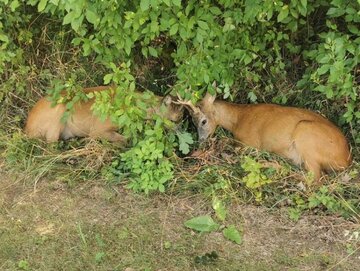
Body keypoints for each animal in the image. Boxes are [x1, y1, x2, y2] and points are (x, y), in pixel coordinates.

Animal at [25, 86, 183, 143]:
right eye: (174, 120)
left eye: (182, 117)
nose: (180, 130)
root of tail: (27, 128)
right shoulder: (97, 130)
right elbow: (123, 139)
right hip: (59, 110)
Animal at [179, 91, 352, 183]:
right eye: (193, 122)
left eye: (203, 121)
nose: (200, 142)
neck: (238, 119)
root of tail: (346, 159)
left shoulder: (249, 143)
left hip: (306, 134)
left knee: (315, 178)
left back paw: (270, 165)